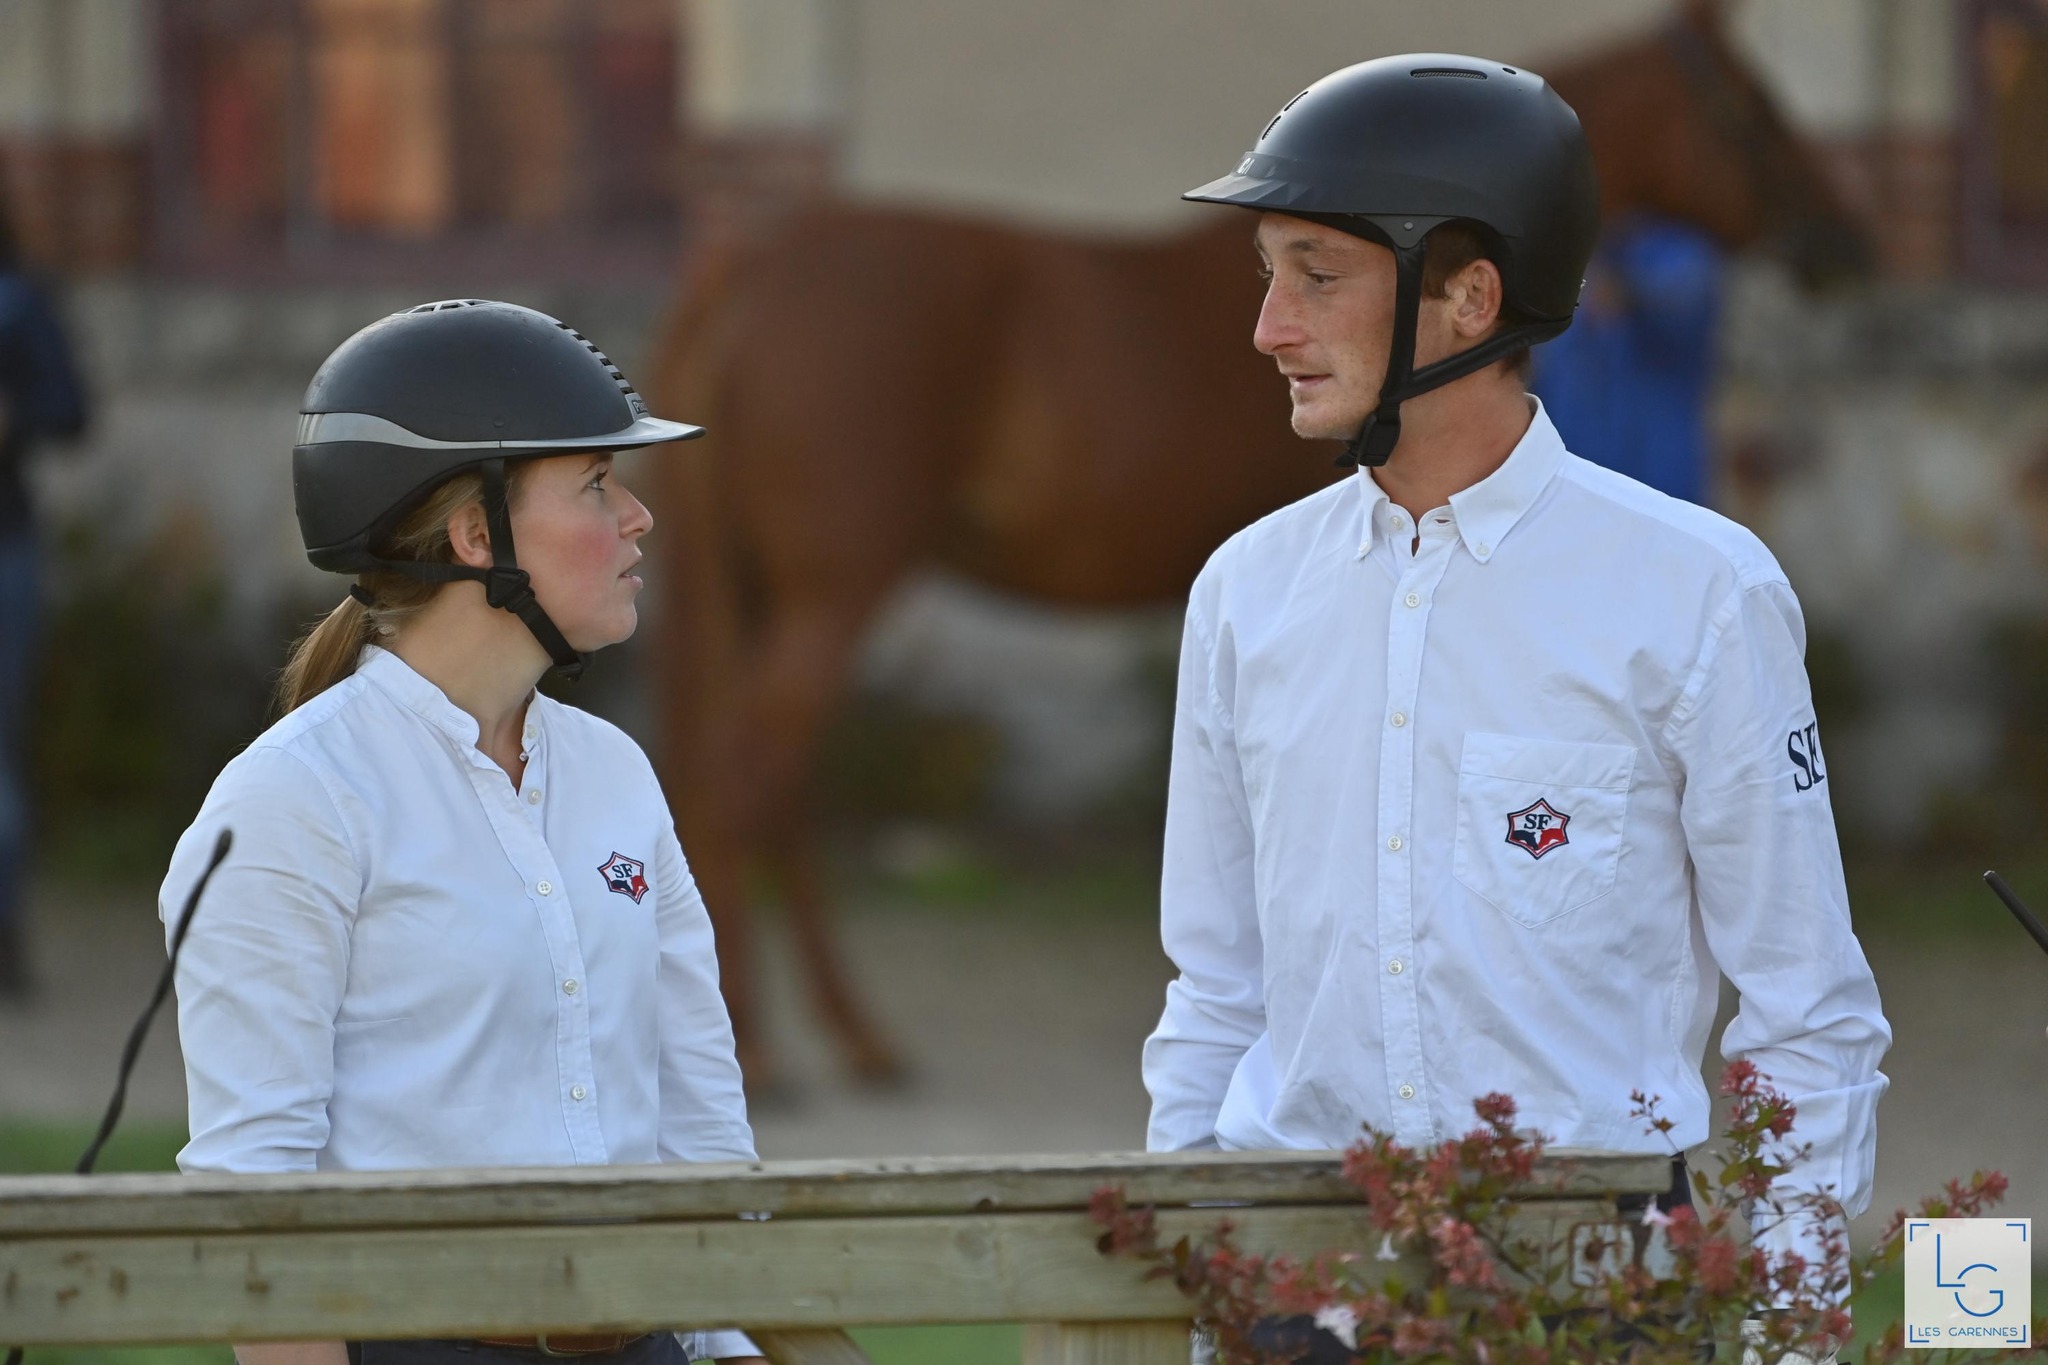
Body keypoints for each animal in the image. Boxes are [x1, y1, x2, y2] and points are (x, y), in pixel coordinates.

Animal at [643, 0, 1873, 1091]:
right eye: (1751, 108)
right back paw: (782, 1051)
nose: (1842, 241)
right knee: (751, 782)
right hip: (832, 589)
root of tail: (758, 261)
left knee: (756, 787)